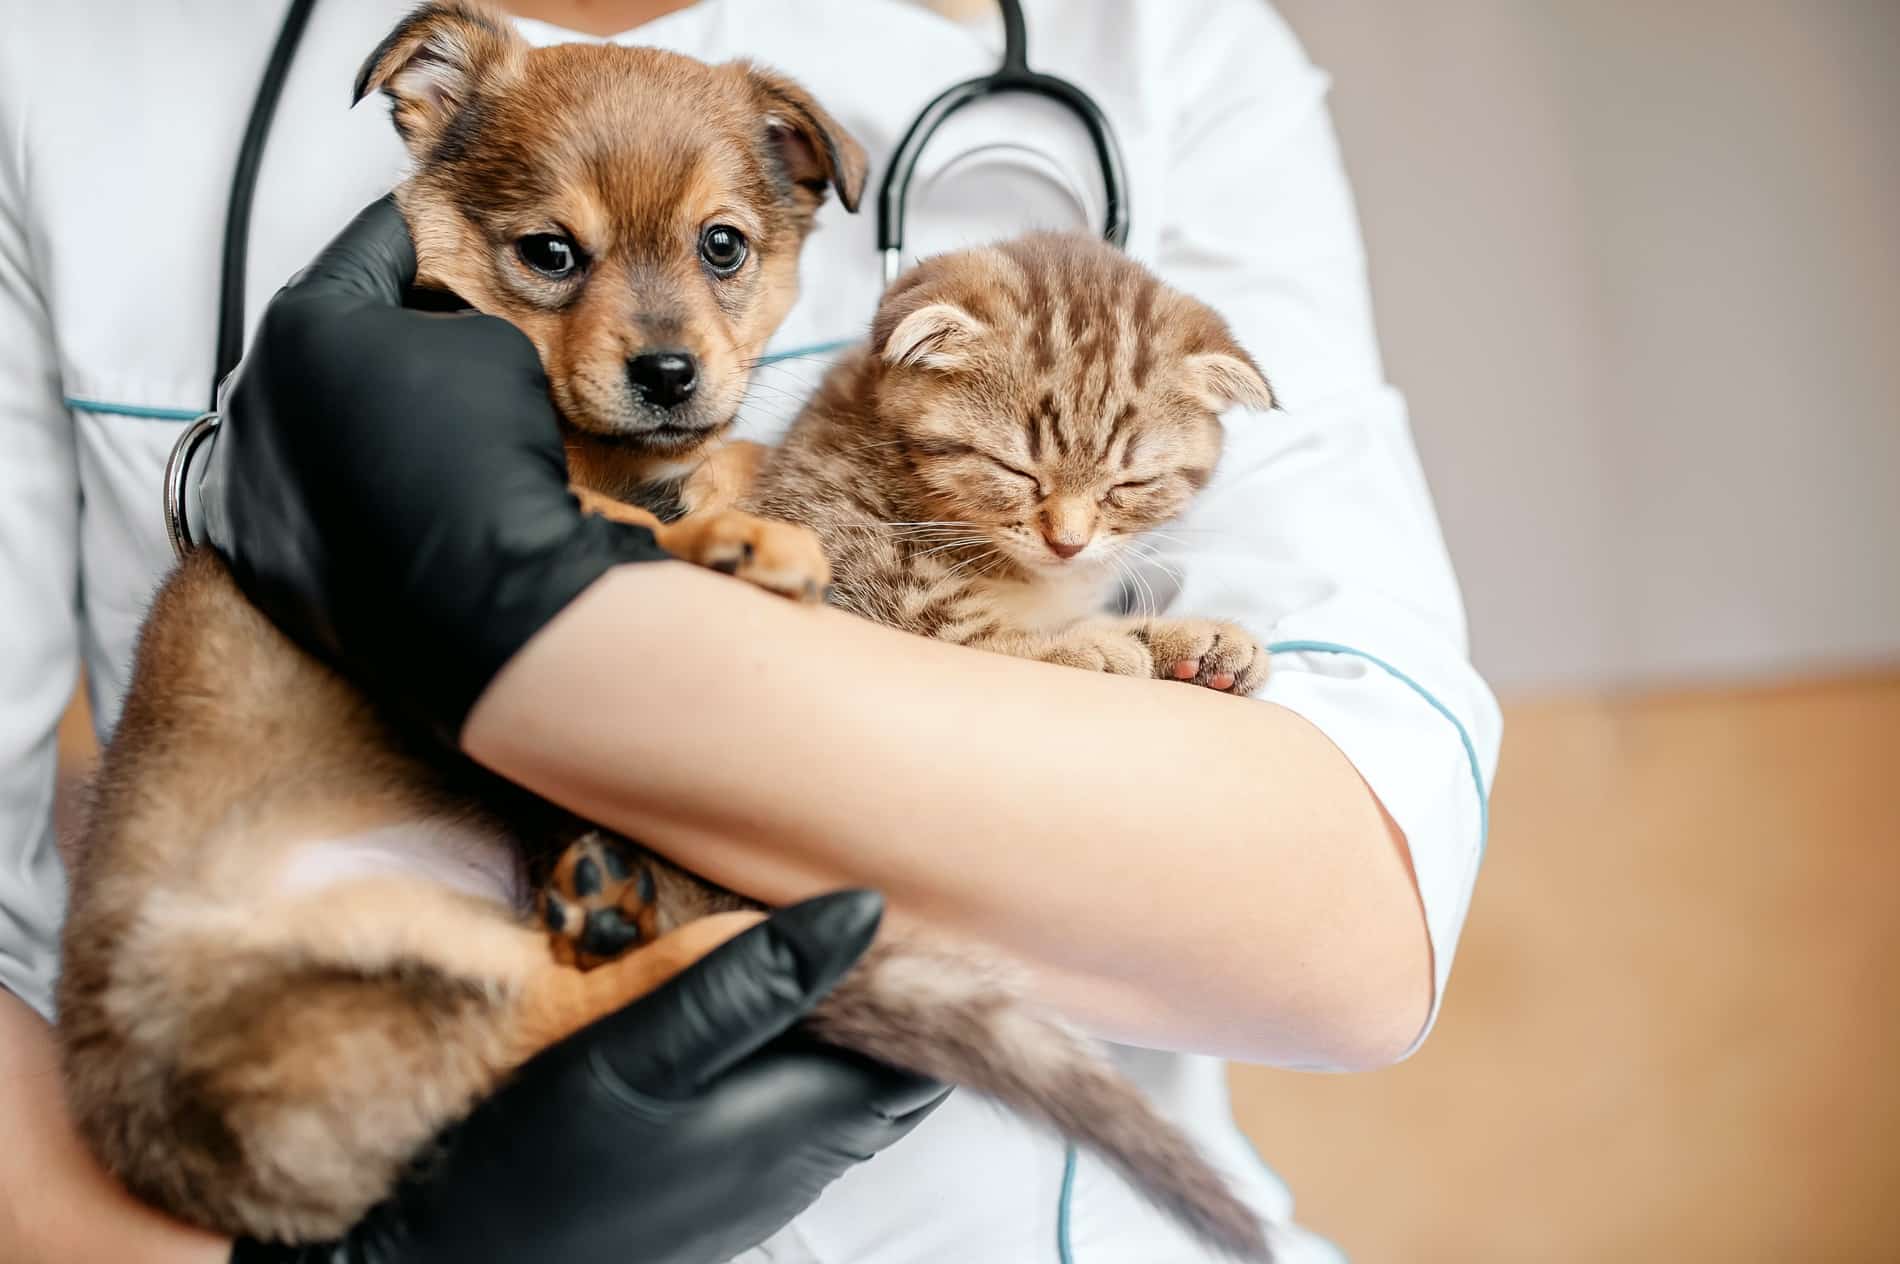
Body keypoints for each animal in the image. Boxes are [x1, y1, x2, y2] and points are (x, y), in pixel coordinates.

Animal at [744, 231, 1276, 695]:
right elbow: (965, 637)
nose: (1067, 545)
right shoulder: (842, 552)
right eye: (1016, 471)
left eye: (1127, 485)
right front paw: (1089, 647)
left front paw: (1188, 640)